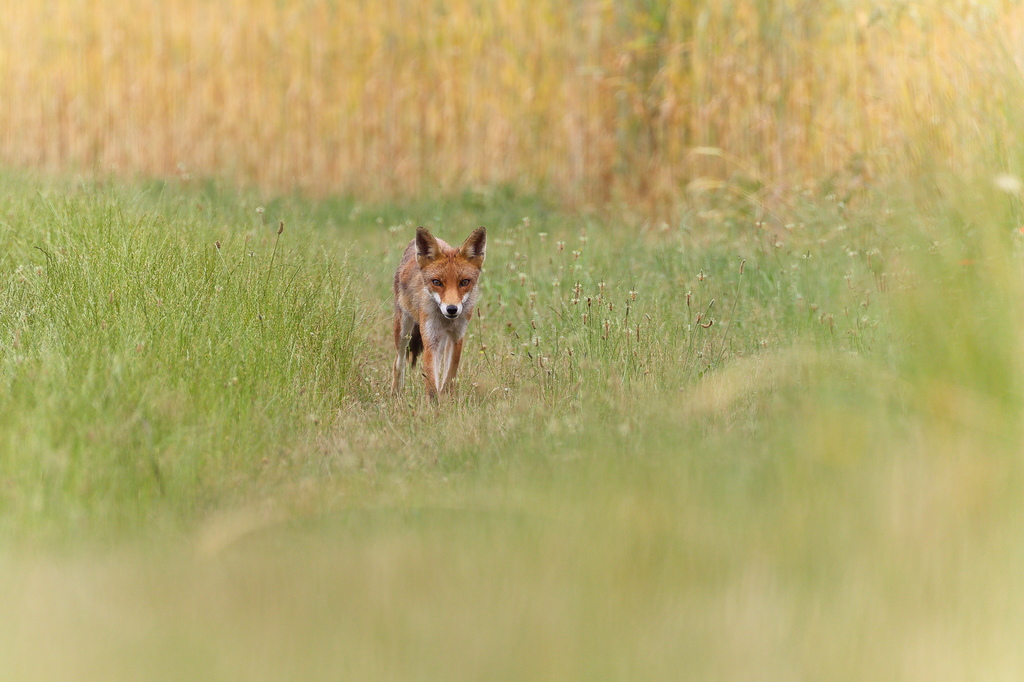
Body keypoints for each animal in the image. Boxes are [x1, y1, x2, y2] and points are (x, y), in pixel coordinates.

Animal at [391, 225, 487, 401]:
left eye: (464, 282)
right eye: (436, 282)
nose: (452, 309)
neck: (446, 321)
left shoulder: (457, 337)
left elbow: (449, 375)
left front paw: (447, 399)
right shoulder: (430, 339)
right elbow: (431, 383)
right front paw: (435, 406)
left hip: (442, 340)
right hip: (403, 330)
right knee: (398, 362)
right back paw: (396, 395)